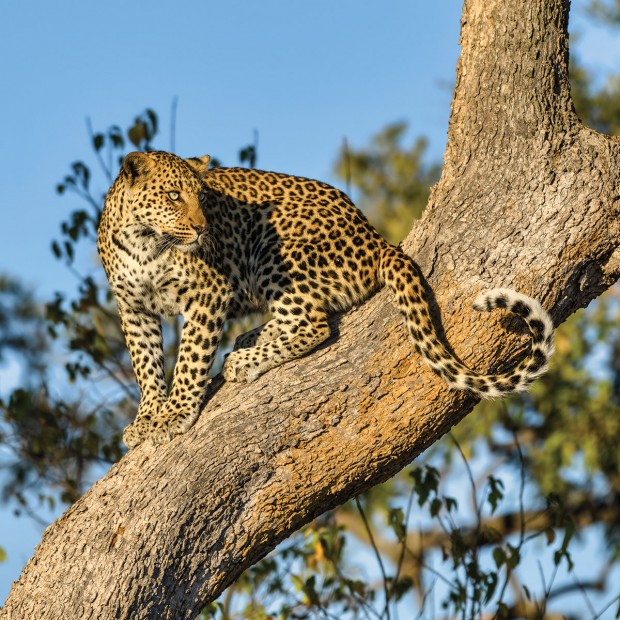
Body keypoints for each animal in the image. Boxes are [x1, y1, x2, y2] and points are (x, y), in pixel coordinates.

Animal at [98, 152, 556, 448]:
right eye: (174, 195)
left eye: (204, 198)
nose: (201, 228)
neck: (144, 243)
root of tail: (375, 237)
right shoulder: (132, 308)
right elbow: (144, 365)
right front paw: (147, 416)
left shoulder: (207, 293)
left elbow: (190, 359)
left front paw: (174, 414)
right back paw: (250, 340)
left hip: (273, 246)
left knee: (314, 322)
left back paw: (244, 359)